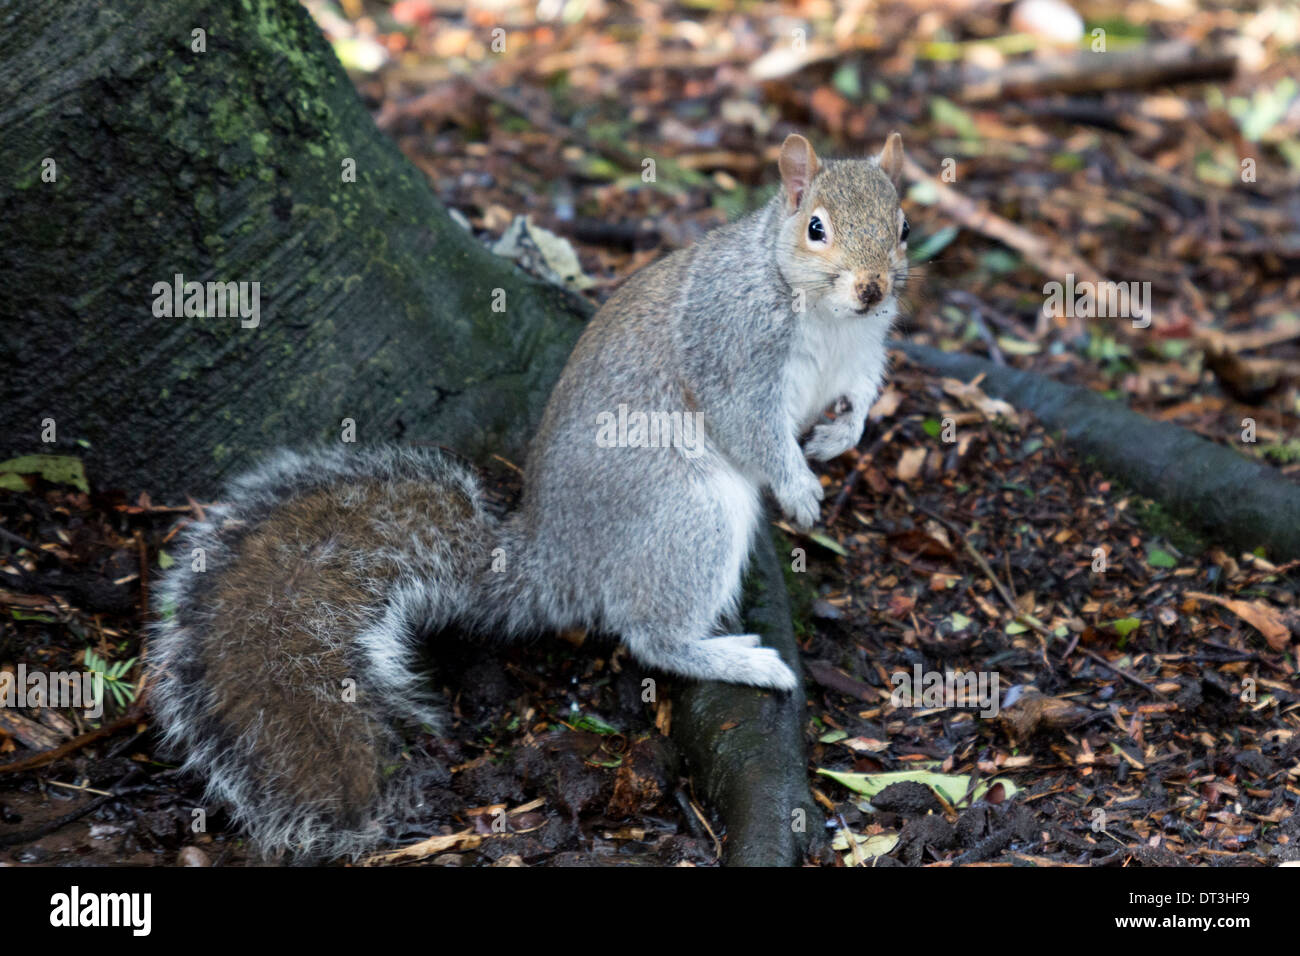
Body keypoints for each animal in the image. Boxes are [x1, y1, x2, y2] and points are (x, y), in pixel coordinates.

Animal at [148, 132, 909, 861]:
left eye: (904, 225)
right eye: (816, 227)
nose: (874, 289)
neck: (826, 314)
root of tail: (552, 555)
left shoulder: (863, 351)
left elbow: (864, 392)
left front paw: (841, 437)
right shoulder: (733, 349)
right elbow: (752, 427)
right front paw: (800, 488)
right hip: (688, 510)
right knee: (649, 635)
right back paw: (738, 659)